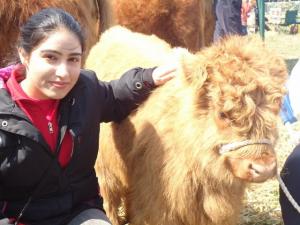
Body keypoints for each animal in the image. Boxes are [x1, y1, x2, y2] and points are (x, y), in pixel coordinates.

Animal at [85, 26, 288, 225]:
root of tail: (114, 32)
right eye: (222, 113)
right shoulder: (157, 205)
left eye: (276, 107)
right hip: (104, 171)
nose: (264, 168)